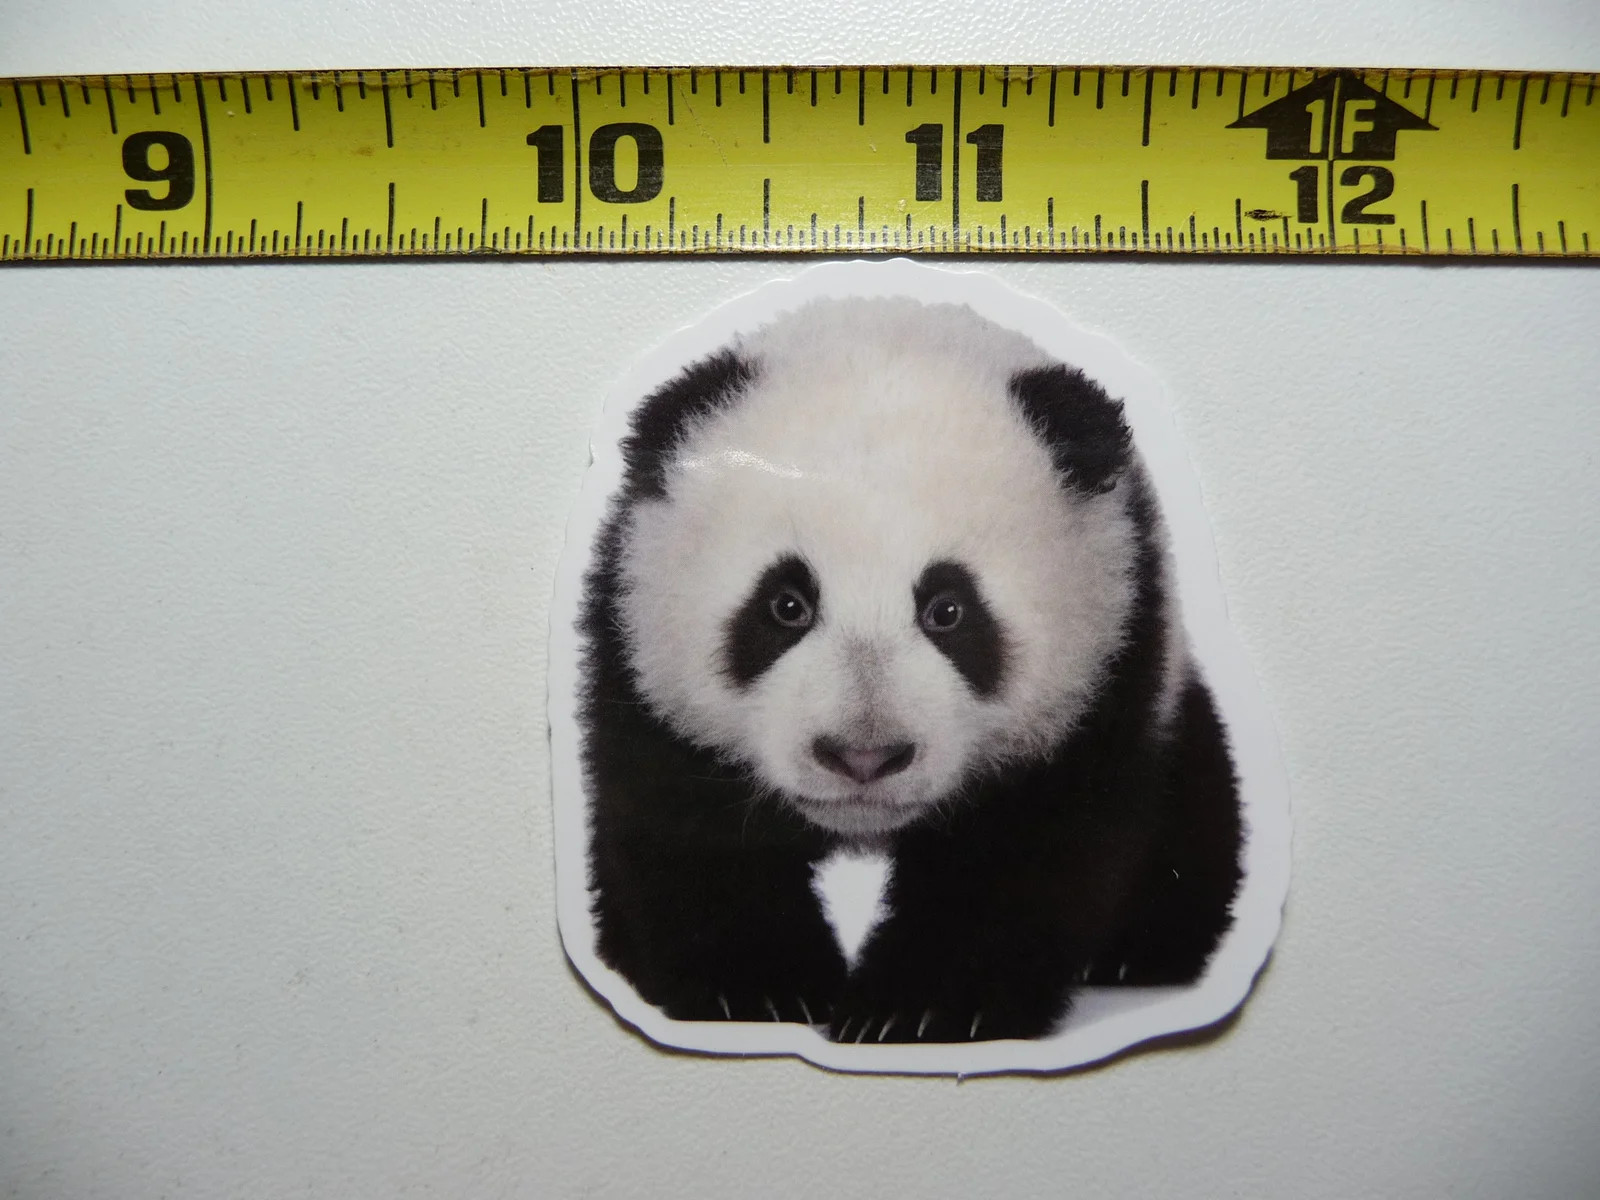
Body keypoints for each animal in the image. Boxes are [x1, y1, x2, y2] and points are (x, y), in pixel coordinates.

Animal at [578, 296, 1243, 1044]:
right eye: (786, 605)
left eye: (948, 609)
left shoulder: (1111, 655)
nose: (863, 758)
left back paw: (1143, 951)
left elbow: (1033, 840)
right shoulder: (636, 646)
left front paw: (918, 1009)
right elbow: (685, 818)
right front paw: (758, 989)